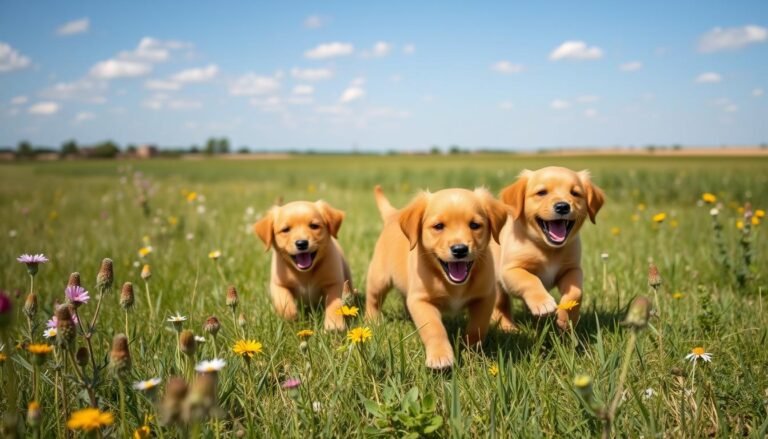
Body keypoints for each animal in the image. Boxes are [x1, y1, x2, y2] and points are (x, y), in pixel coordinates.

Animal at [252, 201, 352, 332]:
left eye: (314, 226)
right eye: (285, 230)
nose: (302, 243)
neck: (304, 274)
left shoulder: (334, 283)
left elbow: (334, 303)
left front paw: (334, 325)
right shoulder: (278, 284)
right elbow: (284, 302)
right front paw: (292, 317)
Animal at [364, 185, 508, 368]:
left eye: (475, 225)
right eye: (439, 226)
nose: (460, 249)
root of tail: (393, 215)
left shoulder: (485, 297)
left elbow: (478, 327)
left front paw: (472, 352)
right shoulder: (421, 300)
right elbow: (434, 328)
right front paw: (440, 356)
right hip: (379, 278)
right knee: (373, 299)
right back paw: (372, 321)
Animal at [492, 167, 608, 332]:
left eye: (575, 193)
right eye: (541, 193)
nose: (563, 206)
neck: (549, 249)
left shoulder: (572, 269)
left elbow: (576, 292)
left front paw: (566, 319)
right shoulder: (510, 270)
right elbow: (529, 279)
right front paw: (543, 303)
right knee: (500, 305)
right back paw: (508, 327)